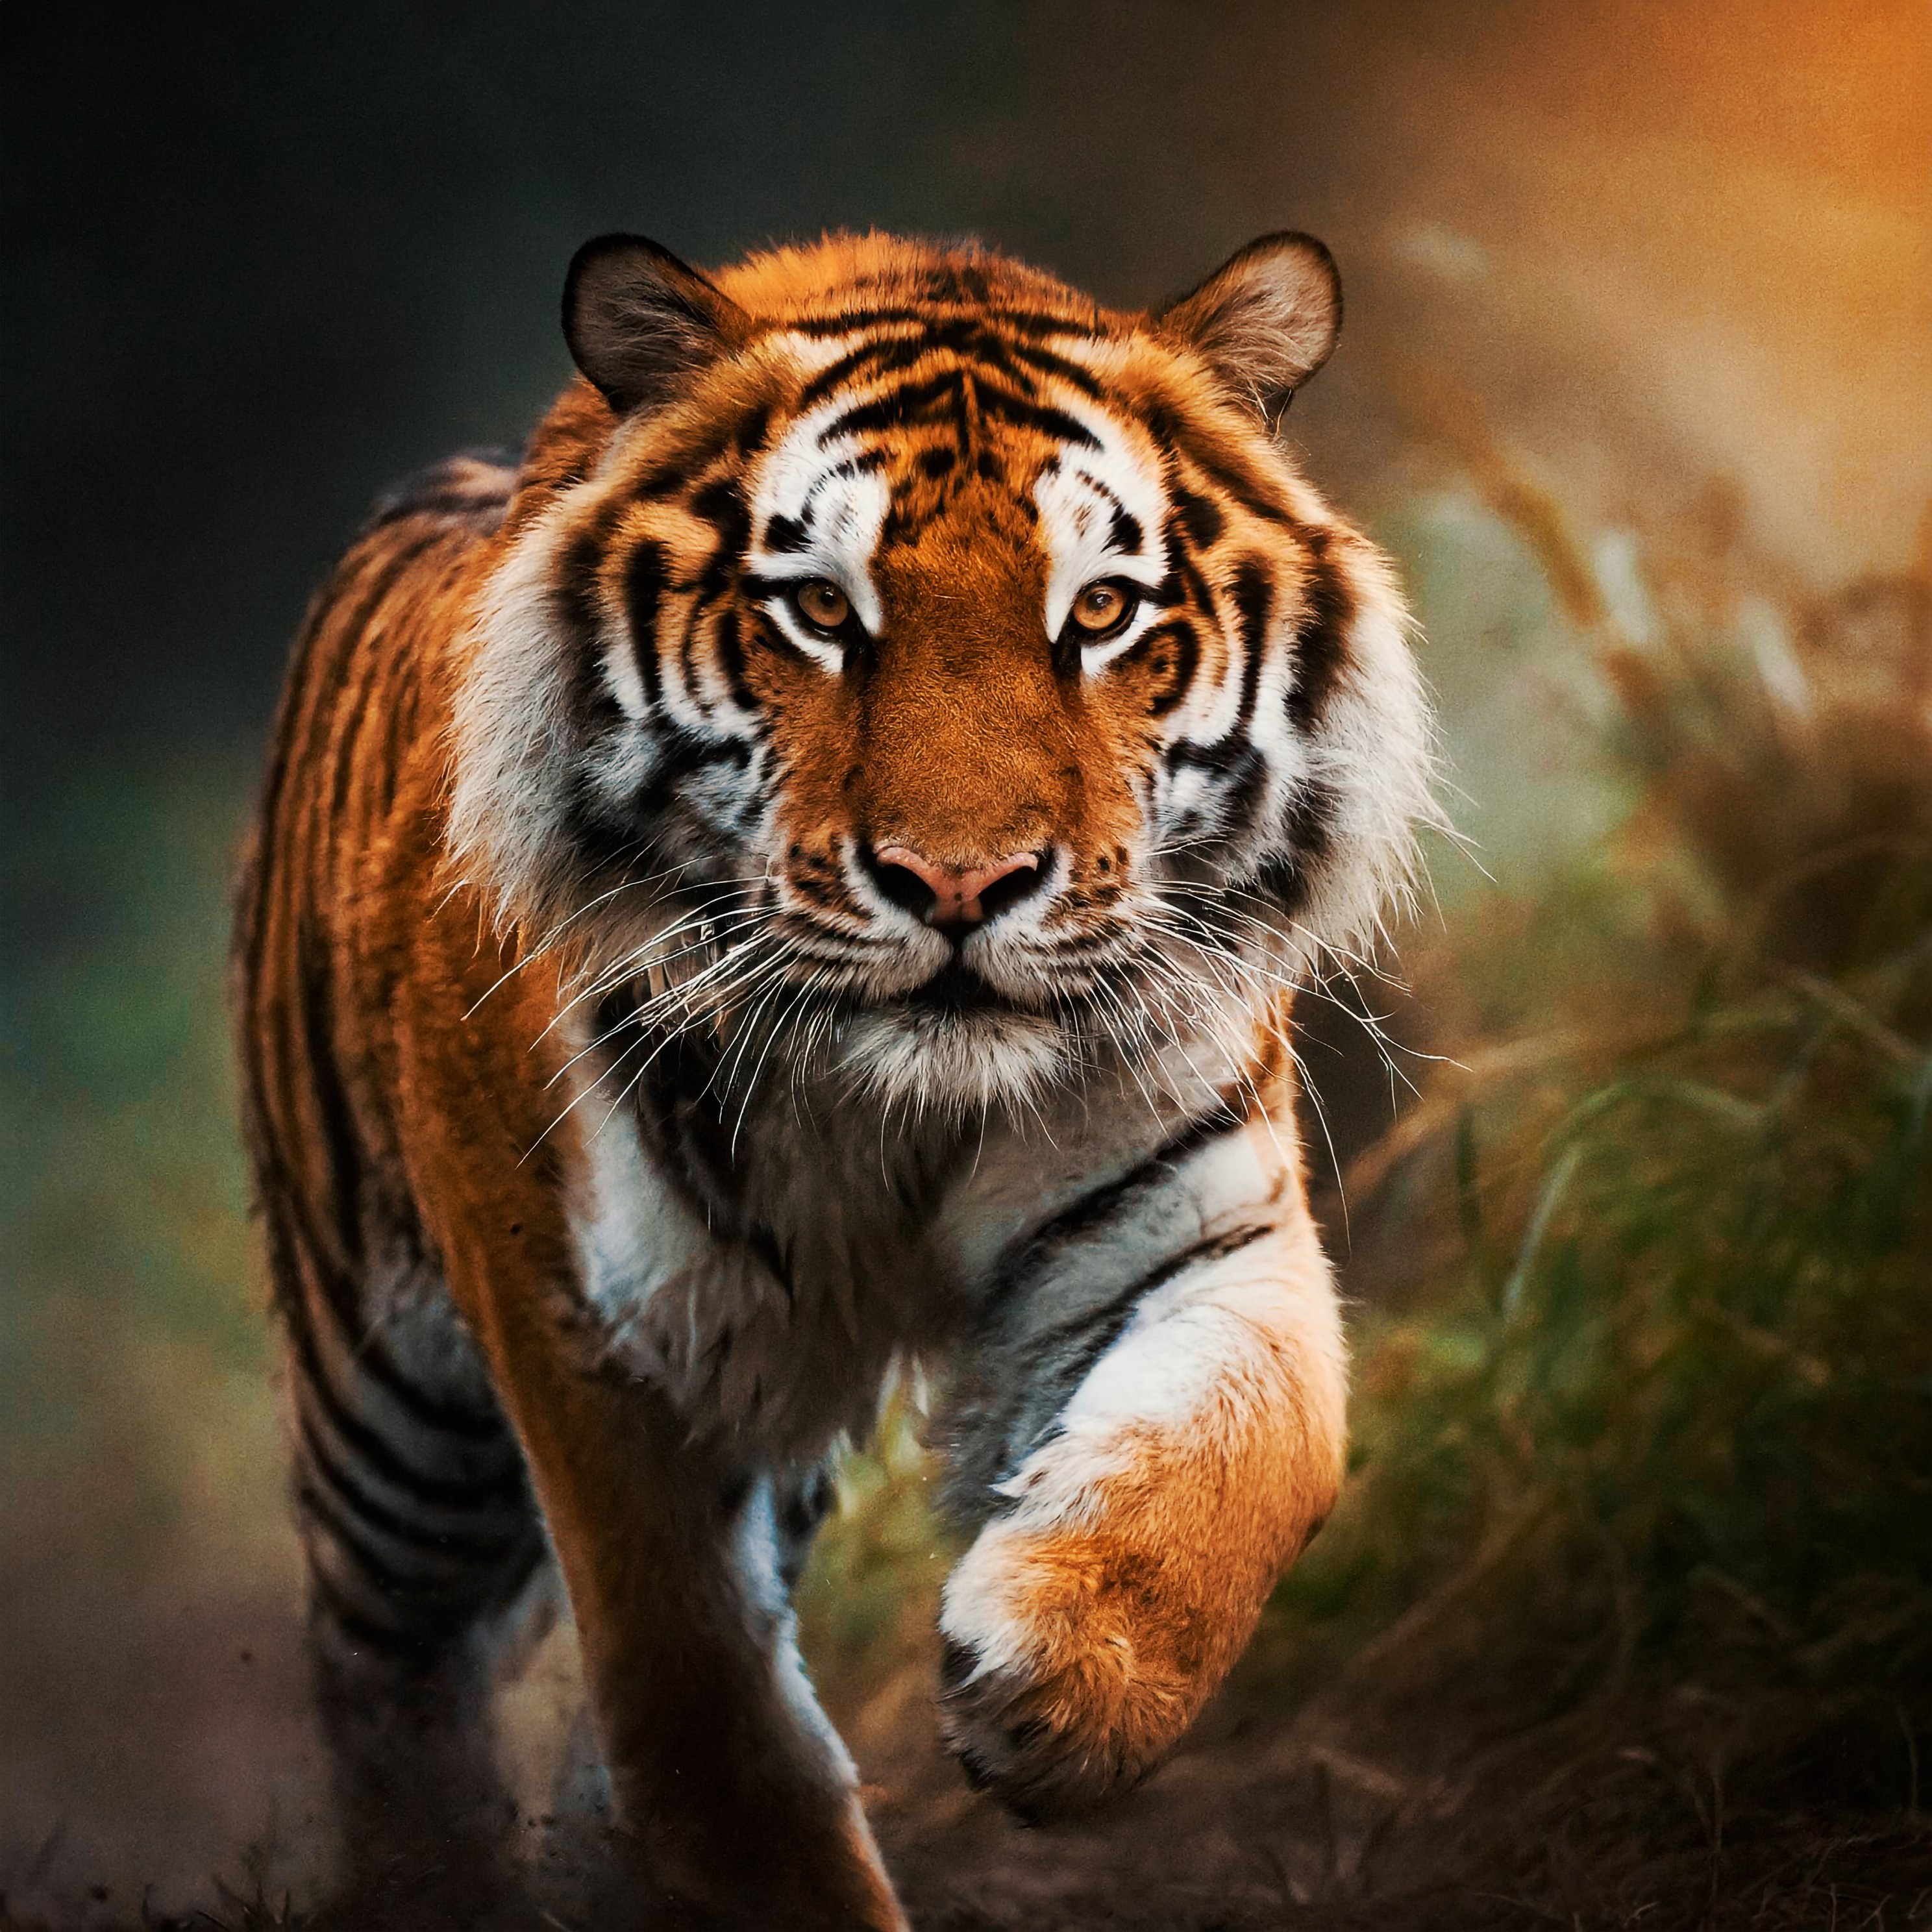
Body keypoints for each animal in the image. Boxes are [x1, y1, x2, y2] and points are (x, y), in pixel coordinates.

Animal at [233, 227, 1432, 1929]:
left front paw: (1057, 1687)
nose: (962, 884)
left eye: (1103, 610)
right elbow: (690, 1693)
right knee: (382, 1666)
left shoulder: (1191, 1216)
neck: (893, 1109)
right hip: (394, 1409)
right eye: (817, 610)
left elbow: (1256, 1453)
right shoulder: (578, 1313)